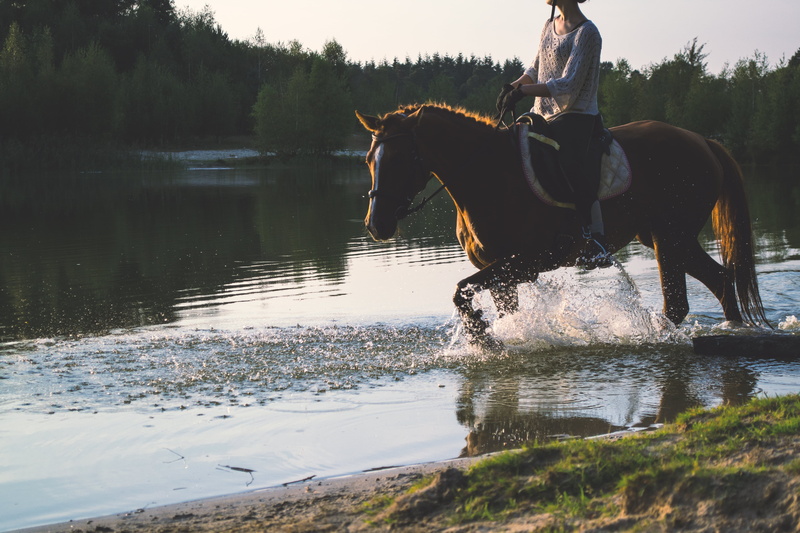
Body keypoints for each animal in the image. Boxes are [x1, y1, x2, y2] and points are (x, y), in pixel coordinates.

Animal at [355, 104, 767, 345]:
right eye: (369, 160)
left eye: (400, 159)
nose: (377, 225)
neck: (489, 176)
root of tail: (703, 141)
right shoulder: (503, 272)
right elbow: (500, 309)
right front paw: (496, 337)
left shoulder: (529, 261)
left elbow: (460, 291)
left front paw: (481, 336)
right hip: (670, 238)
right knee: (720, 280)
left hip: (670, 237)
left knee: (681, 301)